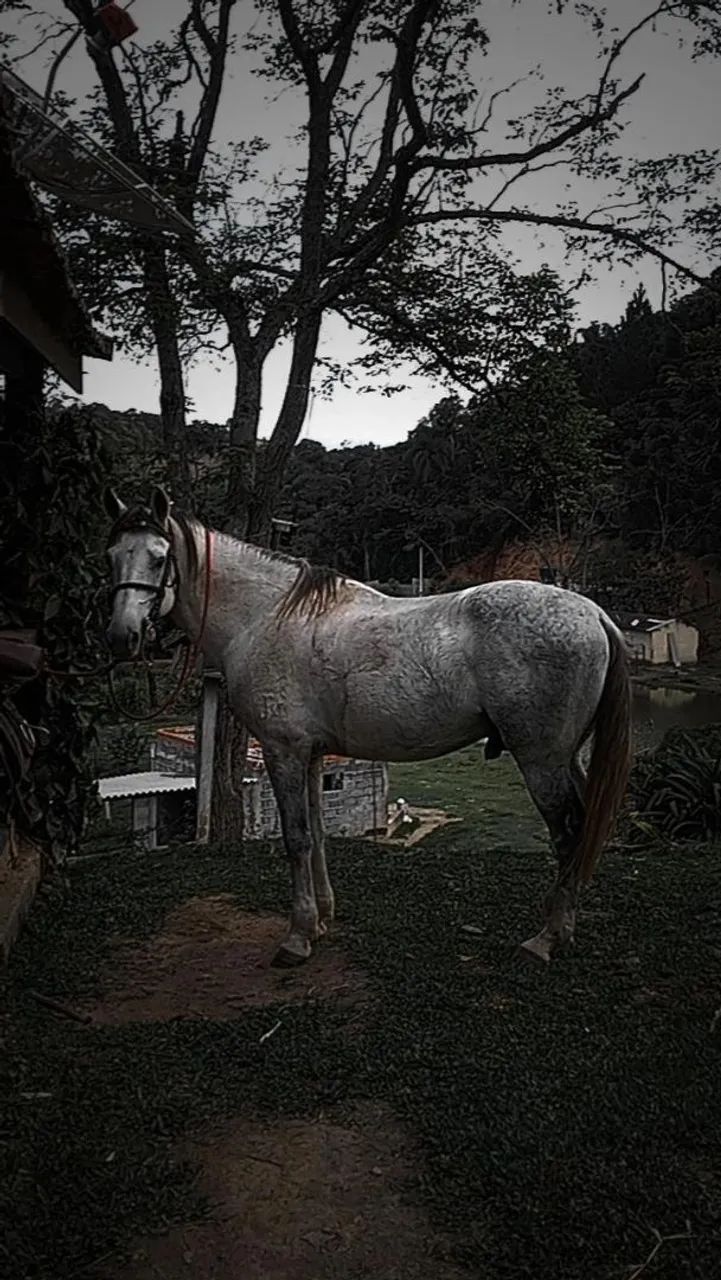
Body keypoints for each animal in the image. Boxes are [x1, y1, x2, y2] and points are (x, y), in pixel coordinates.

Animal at [103, 487, 631, 968]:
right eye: (111, 555)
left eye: (158, 558)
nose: (122, 637)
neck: (265, 616)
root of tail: (595, 613)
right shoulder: (312, 754)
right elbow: (316, 832)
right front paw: (320, 919)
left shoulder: (282, 750)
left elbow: (296, 838)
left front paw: (297, 938)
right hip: (566, 757)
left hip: (541, 759)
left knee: (569, 833)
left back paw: (546, 939)